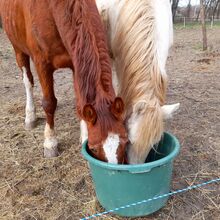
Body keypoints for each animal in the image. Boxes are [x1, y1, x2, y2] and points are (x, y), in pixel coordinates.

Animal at [0, 0, 128, 162]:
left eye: (125, 141)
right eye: (93, 148)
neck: (54, 10)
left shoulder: (75, 63)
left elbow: (81, 105)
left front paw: (84, 136)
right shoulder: (42, 64)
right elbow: (49, 103)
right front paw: (50, 143)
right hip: (18, 49)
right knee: (28, 82)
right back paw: (30, 116)